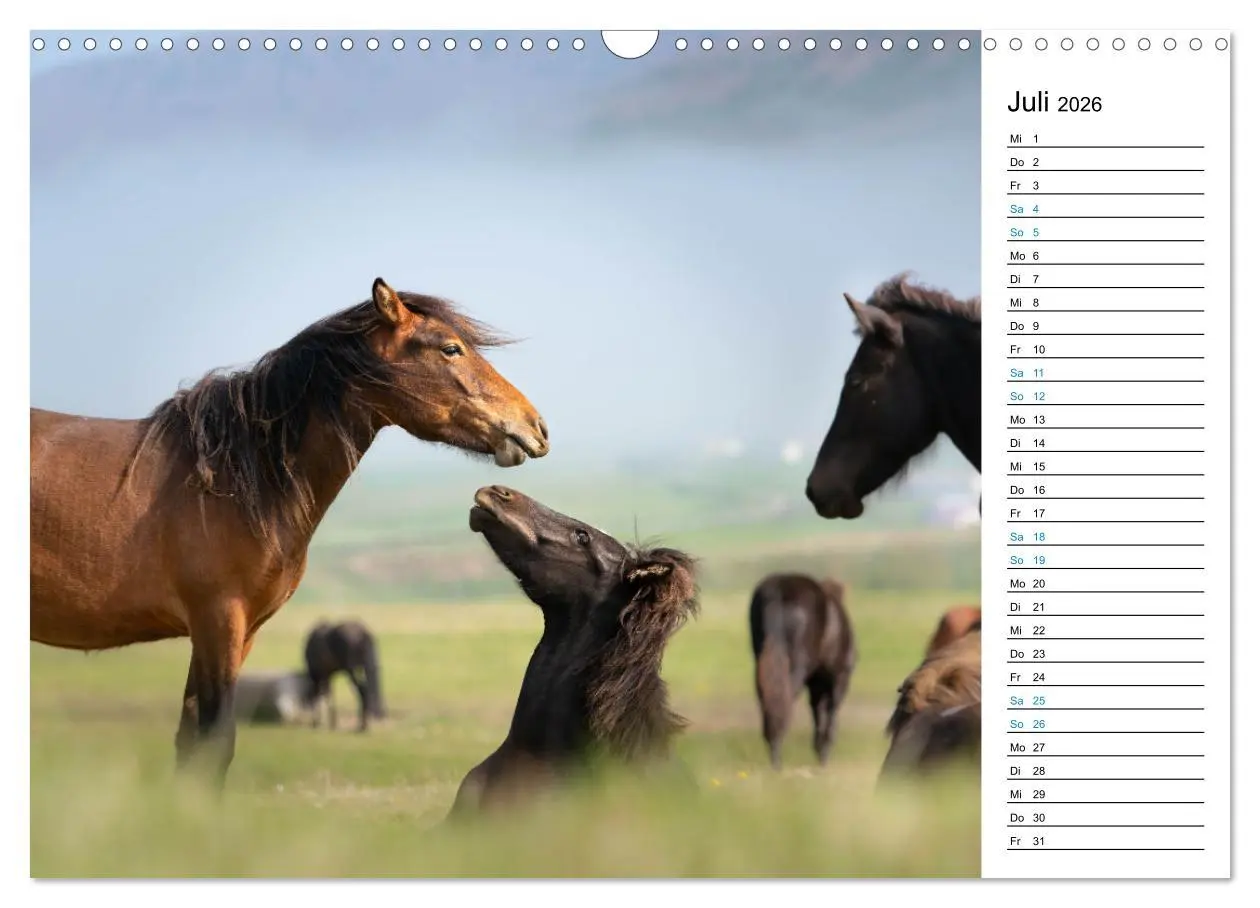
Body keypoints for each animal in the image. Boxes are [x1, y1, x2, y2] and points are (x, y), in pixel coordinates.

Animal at [30, 277, 549, 786]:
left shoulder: (236, 634)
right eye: (450, 348)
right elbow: (214, 743)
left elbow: (191, 742)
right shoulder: (218, 621)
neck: (234, 478)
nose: (536, 426)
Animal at [748, 573, 857, 770]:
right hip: (797, 668)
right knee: (783, 704)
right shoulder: (839, 679)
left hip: (762, 659)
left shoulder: (816, 684)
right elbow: (830, 714)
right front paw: (824, 754)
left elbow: (818, 713)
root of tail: (777, 589)